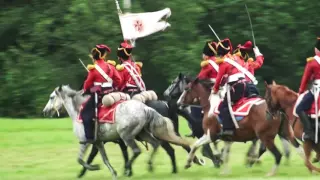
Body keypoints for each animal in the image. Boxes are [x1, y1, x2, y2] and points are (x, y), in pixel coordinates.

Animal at [42, 85, 192, 179]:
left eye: (51, 97)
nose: (45, 111)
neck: (79, 111)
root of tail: (145, 108)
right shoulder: (98, 142)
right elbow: (104, 158)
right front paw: (112, 172)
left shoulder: (86, 142)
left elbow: (81, 159)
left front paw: (93, 168)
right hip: (142, 134)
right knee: (156, 145)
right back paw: (150, 166)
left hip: (127, 136)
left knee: (138, 150)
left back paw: (129, 168)